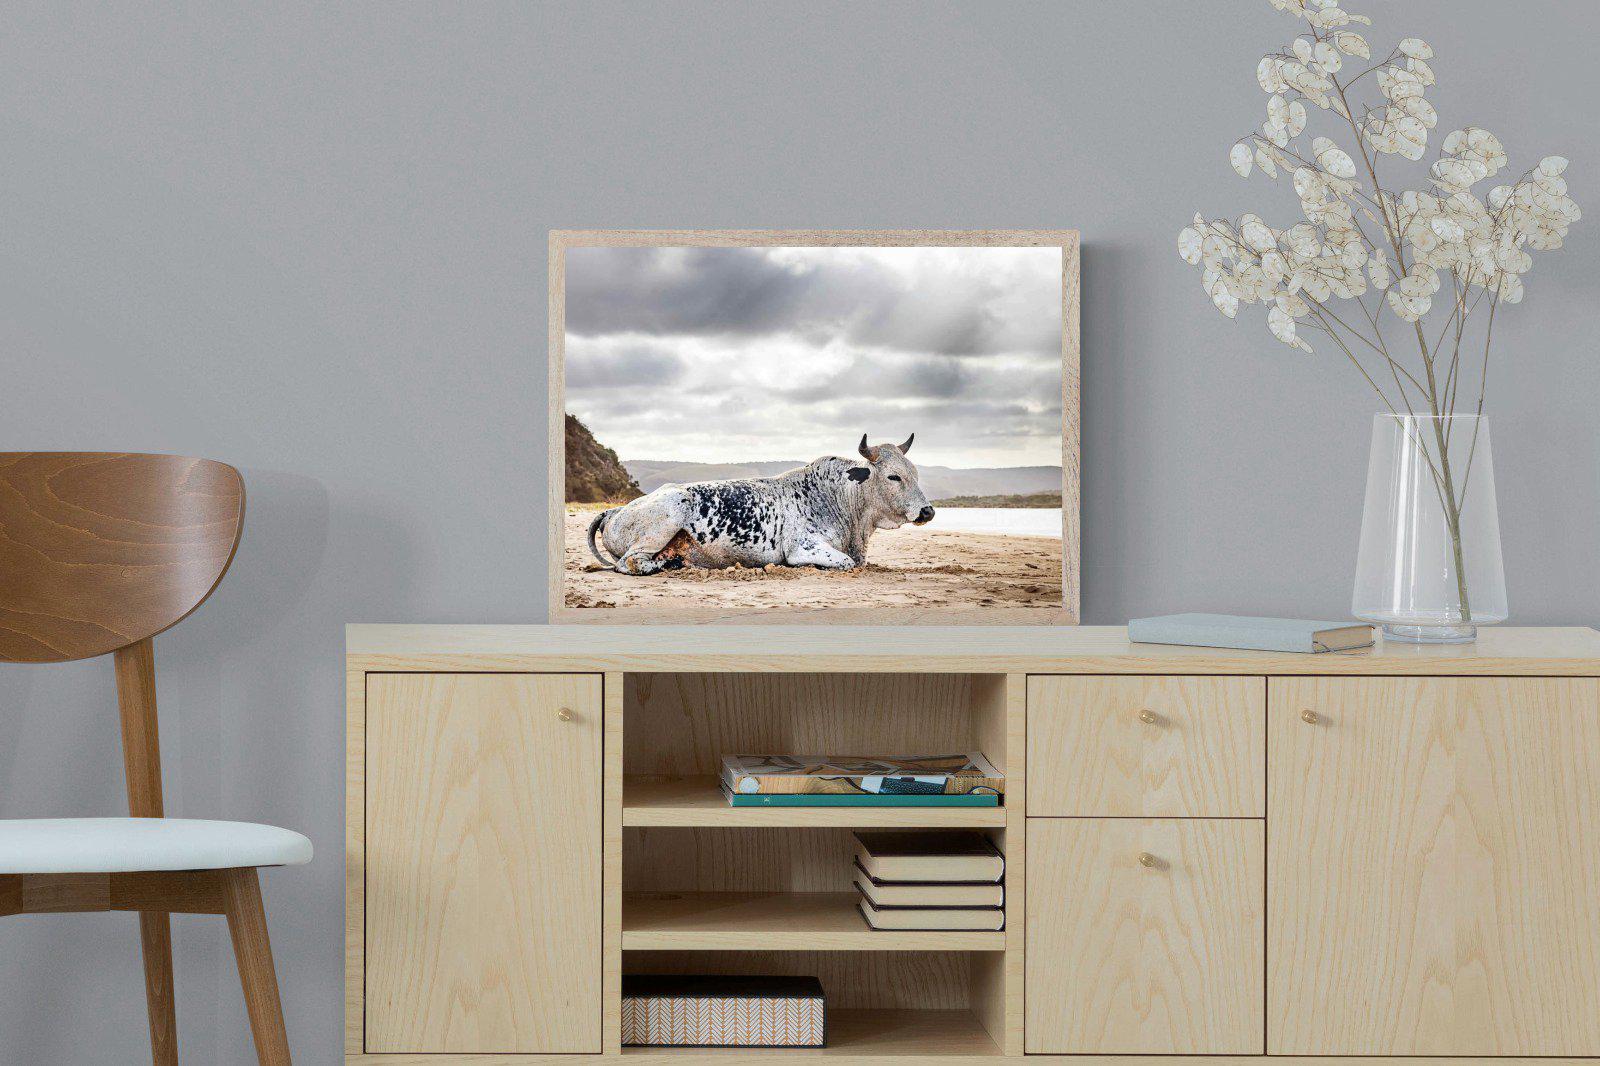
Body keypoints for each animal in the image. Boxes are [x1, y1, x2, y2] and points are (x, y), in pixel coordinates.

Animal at [587, 433, 935, 575]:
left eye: (916, 474)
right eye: (893, 476)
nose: (928, 510)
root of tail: (615, 510)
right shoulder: (802, 547)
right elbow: (846, 563)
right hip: (666, 519)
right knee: (629, 563)